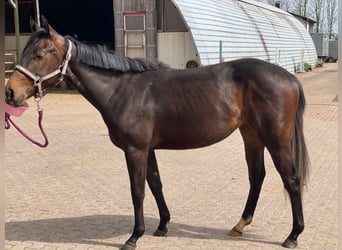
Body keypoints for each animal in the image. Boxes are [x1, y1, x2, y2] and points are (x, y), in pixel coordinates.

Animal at [4, 16, 310, 249]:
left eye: (40, 54)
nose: (10, 93)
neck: (122, 89)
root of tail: (289, 77)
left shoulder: (135, 150)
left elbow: (137, 191)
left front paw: (133, 236)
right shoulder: (148, 149)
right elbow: (155, 184)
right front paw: (162, 225)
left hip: (275, 140)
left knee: (291, 180)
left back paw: (293, 235)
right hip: (251, 135)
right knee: (257, 176)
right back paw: (240, 225)